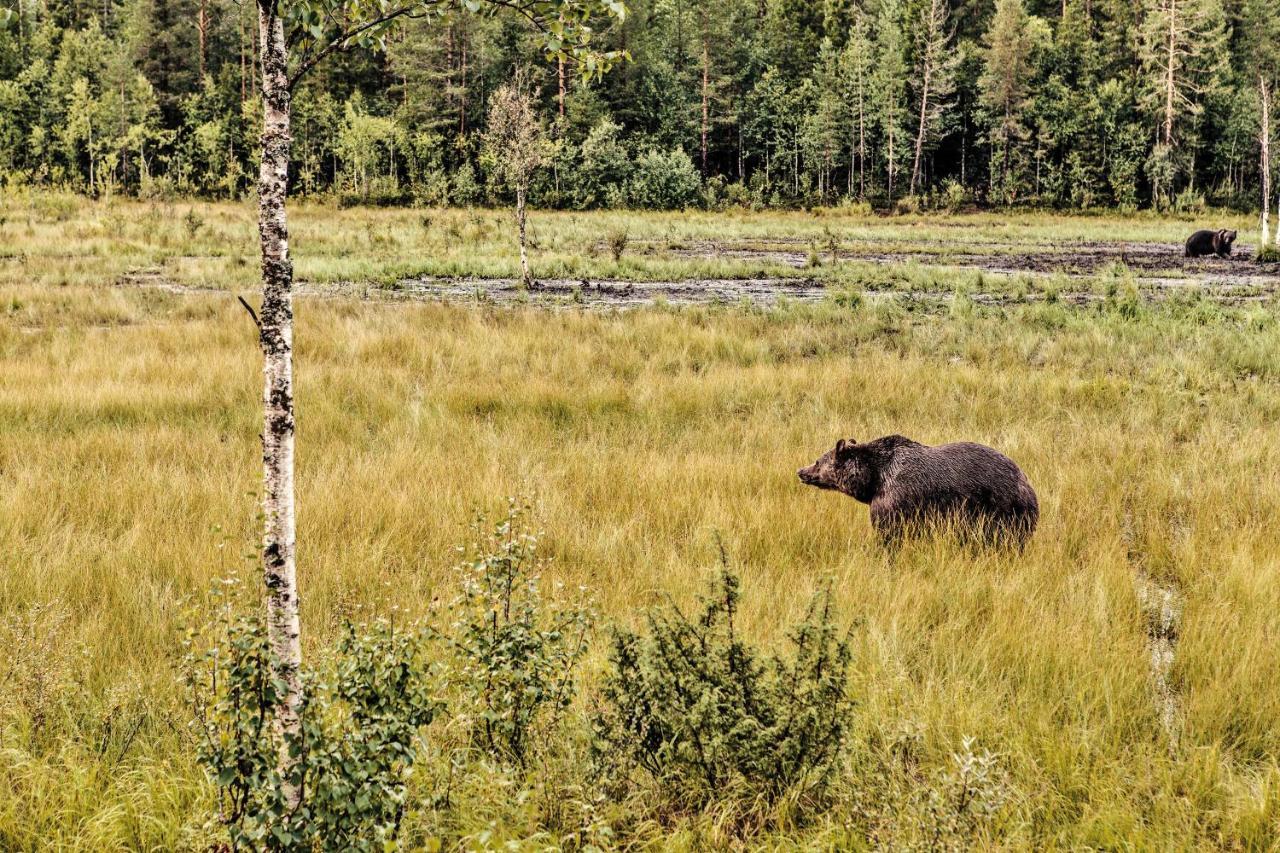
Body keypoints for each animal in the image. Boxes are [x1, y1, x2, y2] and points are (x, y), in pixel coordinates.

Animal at [798, 432, 1039, 545]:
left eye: (818, 461)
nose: (801, 471)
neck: (874, 478)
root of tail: (1026, 482)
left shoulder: (896, 499)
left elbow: (889, 533)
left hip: (1001, 508)